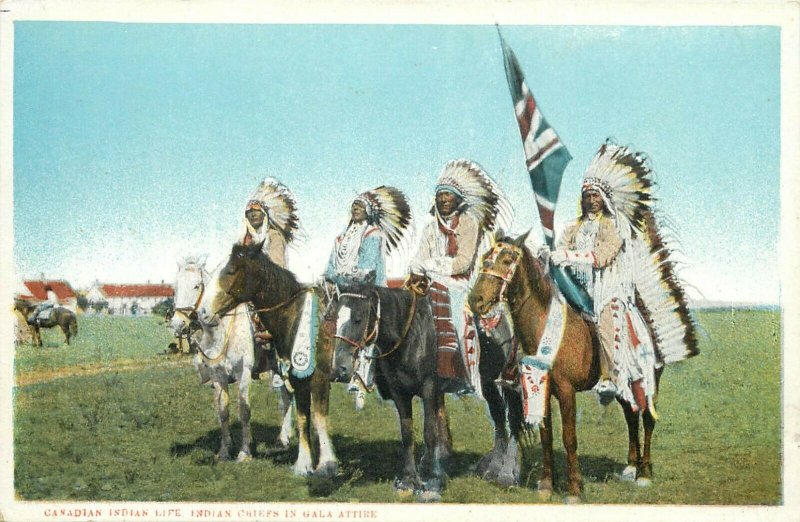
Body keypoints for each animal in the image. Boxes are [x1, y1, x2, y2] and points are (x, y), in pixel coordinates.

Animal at [171, 256, 294, 460]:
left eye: (196, 286)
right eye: (175, 287)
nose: (177, 324)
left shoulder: (243, 373)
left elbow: (244, 411)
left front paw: (244, 452)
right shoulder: (218, 376)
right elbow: (223, 412)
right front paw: (224, 450)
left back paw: (287, 438)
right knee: (285, 398)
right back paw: (284, 437)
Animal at [202, 240, 340, 476]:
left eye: (230, 270)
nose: (203, 312)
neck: (297, 316)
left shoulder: (318, 377)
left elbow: (319, 417)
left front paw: (326, 464)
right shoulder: (298, 378)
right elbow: (304, 418)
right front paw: (304, 464)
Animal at [468, 233, 664, 500]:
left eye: (507, 260)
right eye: (486, 258)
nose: (475, 300)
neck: (544, 329)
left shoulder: (566, 391)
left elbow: (569, 437)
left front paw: (574, 489)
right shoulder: (539, 388)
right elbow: (547, 436)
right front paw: (546, 485)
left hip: (649, 382)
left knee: (648, 418)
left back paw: (644, 473)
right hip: (624, 386)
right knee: (631, 416)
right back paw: (631, 467)